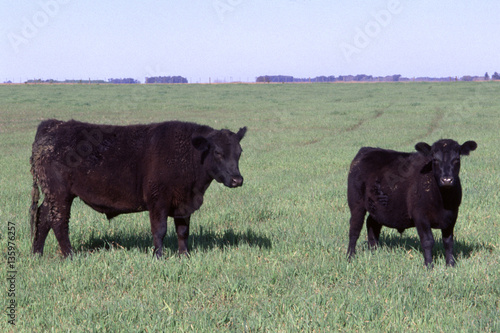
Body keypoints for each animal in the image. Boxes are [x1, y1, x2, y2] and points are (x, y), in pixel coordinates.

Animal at [29, 119, 246, 256]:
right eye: (217, 152)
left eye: (239, 152)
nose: (238, 180)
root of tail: (53, 125)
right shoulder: (158, 201)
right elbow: (159, 230)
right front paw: (158, 256)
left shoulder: (183, 204)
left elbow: (183, 231)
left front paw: (184, 256)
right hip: (60, 194)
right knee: (58, 222)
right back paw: (70, 255)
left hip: (52, 195)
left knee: (43, 216)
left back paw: (37, 253)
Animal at [346, 139, 478, 266]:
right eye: (435, 160)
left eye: (456, 159)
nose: (447, 180)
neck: (443, 201)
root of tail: (367, 150)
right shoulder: (420, 216)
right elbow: (428, 241)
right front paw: (429, 265)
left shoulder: (452, 216)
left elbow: (448, 241)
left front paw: (450, 264)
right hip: (356, 204)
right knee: (354, 229)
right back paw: (350, 256)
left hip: (378, 207)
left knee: (372, 224)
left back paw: (373, 252)